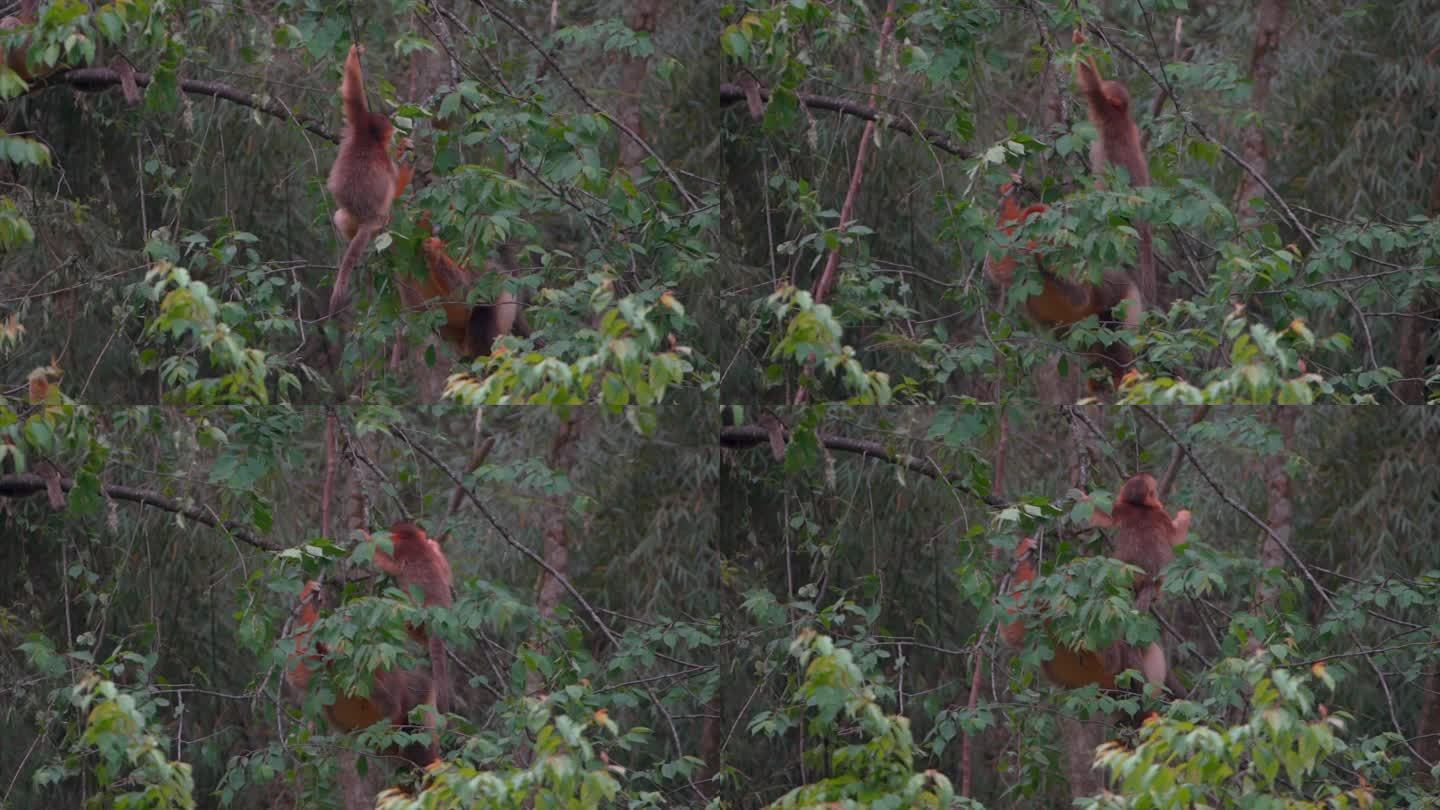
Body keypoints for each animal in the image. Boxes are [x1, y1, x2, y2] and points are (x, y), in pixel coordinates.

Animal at [326, 42, 411, 317]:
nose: (393, 134)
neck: (370, 138)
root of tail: (366, 218)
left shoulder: (359, 122)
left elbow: (352, 92)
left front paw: (355, 53)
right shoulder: (383, 159)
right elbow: (395, 185)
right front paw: (405, 152)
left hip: (350, 217)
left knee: (340, 217)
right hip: (376, 221)